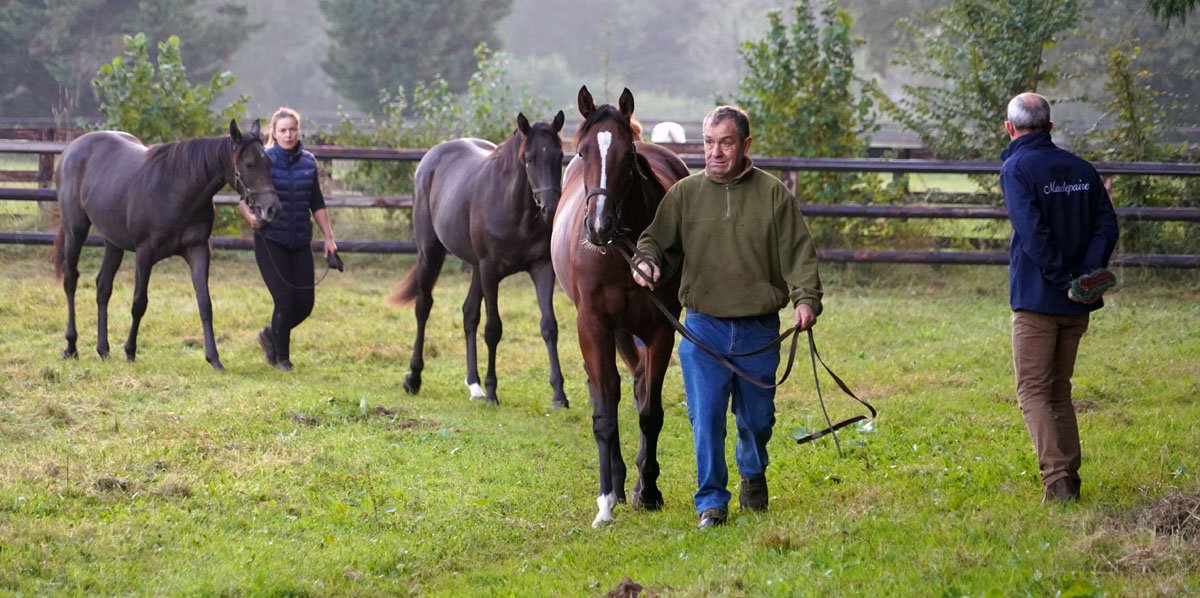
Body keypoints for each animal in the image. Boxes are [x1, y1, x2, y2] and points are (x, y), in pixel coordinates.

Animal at [53, 120, 281, 370]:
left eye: (269, 163)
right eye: (249, 164)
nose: (272, 209)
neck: (176, 190)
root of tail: (71, 150)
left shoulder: (198, 250)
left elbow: (205, 304)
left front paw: (214, 358)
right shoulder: (144, 254)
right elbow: (139, 303)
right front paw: (130, 351)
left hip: (113, 242)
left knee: (103, 287)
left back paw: (103, 349)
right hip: (75, 231)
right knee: (71, 280)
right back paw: (71, 345)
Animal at [391, 111, 570, 409]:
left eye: (559, 156)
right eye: (530, 158)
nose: (551, 209)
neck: (515, 208)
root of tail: (430, 159)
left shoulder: (542, 268)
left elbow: (549, 326)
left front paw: (559, 394)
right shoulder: (490, 270)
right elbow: (493, 329)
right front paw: (493, 391)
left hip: (473, 266)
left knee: (468, 314)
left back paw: (473, 384)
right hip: (431, 254)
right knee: (423, 307)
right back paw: (414, 378)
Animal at [550, 86, 690, 526]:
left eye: (627, 155)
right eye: (581, 152)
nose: (599, 226)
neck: (621, 251)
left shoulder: (660, 329)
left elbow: (650, 411)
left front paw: (649, 490)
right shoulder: (594, 326)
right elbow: (604, 414)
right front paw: (606, 500)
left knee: (638, 386)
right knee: (606, 393)